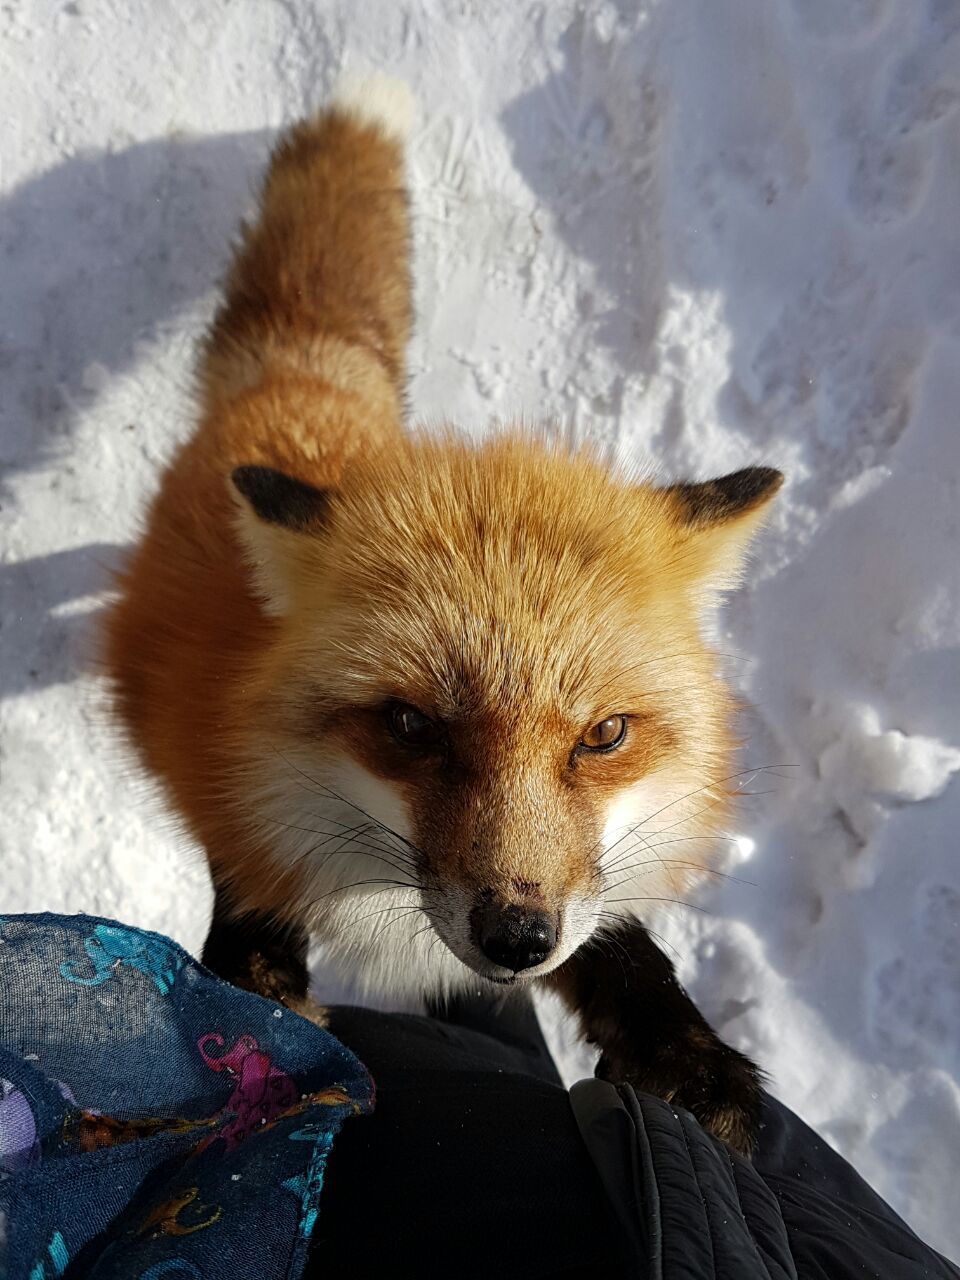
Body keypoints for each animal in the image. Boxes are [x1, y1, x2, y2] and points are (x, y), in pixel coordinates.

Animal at [104, 72, 783, 1152]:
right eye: (410, 726)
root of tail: (305, 390)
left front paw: (689, 1060)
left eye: (605, 735)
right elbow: (250, 940)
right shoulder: (238, 814)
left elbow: (620, 940)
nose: (515, 939)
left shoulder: (579, 893)